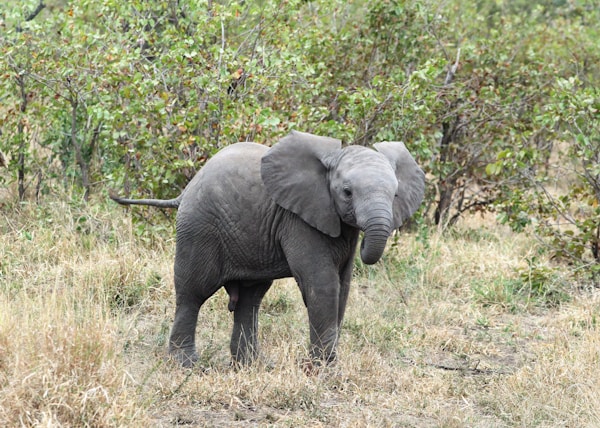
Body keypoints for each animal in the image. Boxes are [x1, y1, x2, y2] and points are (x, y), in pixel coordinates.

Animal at [111, 130, 422, 368]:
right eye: (347, 192)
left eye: (395, 195)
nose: (369, 244)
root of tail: (186, 189)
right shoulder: (298, 219)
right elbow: (322, 284)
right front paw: (323, 370)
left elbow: (343, 288)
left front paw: (325, 365)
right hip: (198, 228)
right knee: (193, 293)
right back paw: (187, 365)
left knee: (250, 299)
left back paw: (252, 366)